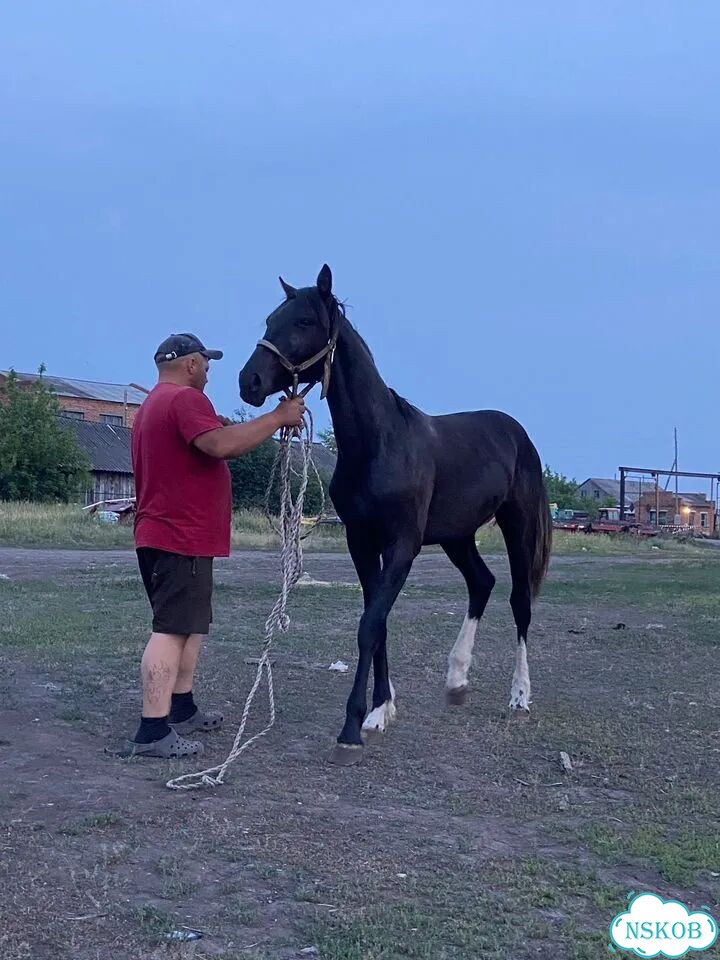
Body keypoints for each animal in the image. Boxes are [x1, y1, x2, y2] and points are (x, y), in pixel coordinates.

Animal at [239, 265, 552, 765]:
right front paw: (379, 710)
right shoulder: (362, 543)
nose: (248, 381)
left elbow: (370, 625)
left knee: (520, 600)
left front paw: (351, 727)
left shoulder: (402, 545)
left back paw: (519, 696)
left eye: (304, 321)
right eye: (270, 319)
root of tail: (516, 432)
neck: (379, 443)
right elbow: (378, 621)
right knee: (481, 582)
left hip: (517, 527)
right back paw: (456, 680)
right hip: (457, 536)